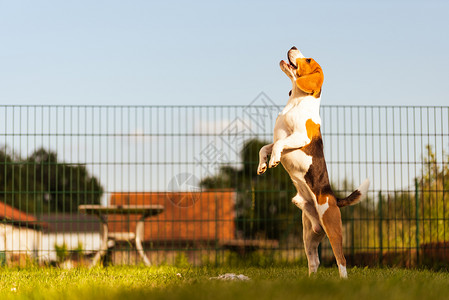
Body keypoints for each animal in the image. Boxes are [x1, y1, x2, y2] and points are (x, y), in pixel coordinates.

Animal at [258, 47, 370, 278]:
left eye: (308, 59)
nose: (292, 46)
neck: (296, 102)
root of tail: (334, 198)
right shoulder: (278, 139)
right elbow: (265, 147)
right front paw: (262, 164)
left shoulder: (300, 137)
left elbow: (278, 144)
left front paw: (273, 160)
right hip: (308, 235)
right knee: (314, 261)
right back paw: (311, 281)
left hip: (332, 227)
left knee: (341, 259)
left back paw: (344, 279)